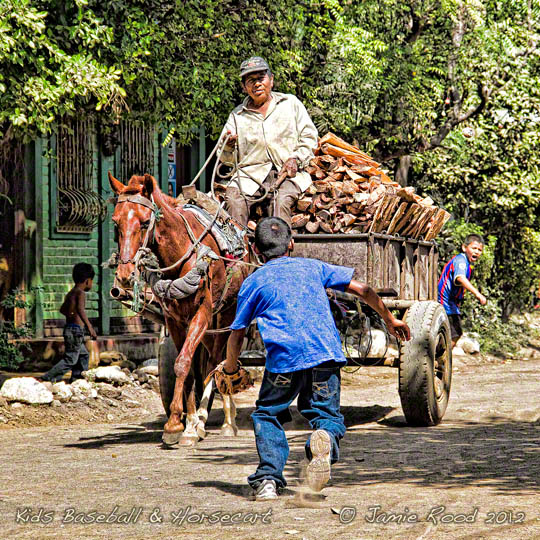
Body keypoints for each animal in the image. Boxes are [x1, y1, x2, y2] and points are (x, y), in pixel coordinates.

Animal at [110, 172, 253, 442]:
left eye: (144, 222)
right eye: (115, 223)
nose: (125, 275)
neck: (180, 254)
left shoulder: (201, 314)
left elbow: (183, 363)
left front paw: (181, 424)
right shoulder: (175, 320)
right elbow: (185, 368)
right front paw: (183, 421)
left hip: (227, 313)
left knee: (220, 359)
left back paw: (223, 419)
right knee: (209, 361)